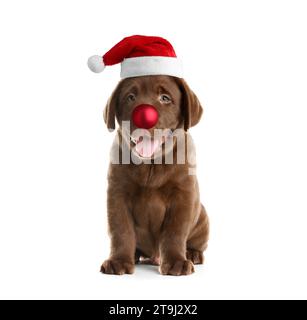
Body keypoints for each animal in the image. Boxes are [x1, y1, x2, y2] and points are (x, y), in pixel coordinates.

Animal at [101, 75, 209, 276]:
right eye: (130, 97)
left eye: (165, 98)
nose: (144, 118)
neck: (151, 165)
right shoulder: (117, 193)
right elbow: (120, 229)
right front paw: (119, 261)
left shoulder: (183, 195)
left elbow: (175, 231)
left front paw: (176, 262)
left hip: (203, 218)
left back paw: (192, 254)